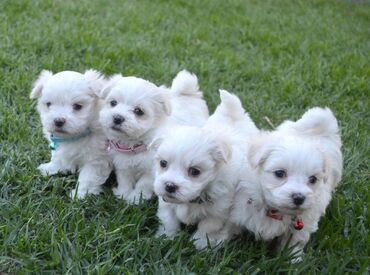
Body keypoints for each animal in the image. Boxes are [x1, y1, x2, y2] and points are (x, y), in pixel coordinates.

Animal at [30, 69, 112, 198]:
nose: (58, 121)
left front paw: (80, 194)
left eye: (77, 106)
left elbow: (88, 176)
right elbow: (57, 157)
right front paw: (51, 168)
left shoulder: (97, 159)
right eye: (48, 104)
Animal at [153, 90, 258, 250]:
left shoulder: (219, 211)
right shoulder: (166, 204)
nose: (170, 186)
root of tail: (234, 113)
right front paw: (166, 238)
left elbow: (207, 226)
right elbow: (169, 220)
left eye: (195, 172)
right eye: (163, 163)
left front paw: (200, 243)